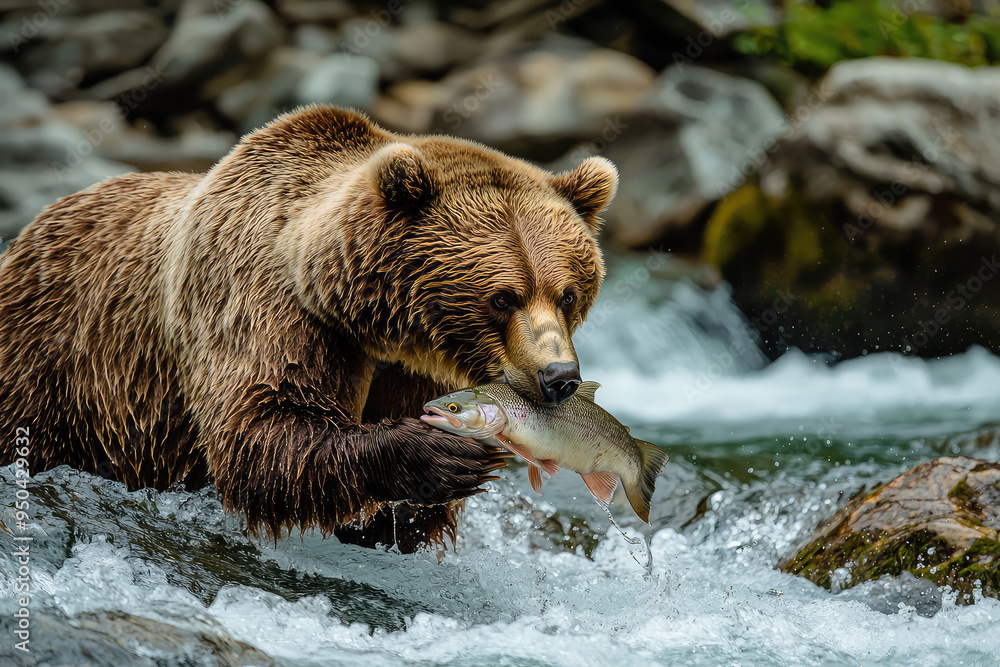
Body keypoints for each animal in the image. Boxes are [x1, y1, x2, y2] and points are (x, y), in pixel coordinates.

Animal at [0, 106, 617, 552]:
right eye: (503, 297)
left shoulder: (419, 365)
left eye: (567, 292)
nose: (559, 375)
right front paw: (440, 453)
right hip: (56, 369)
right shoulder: (267, 305)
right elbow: (261, 429)